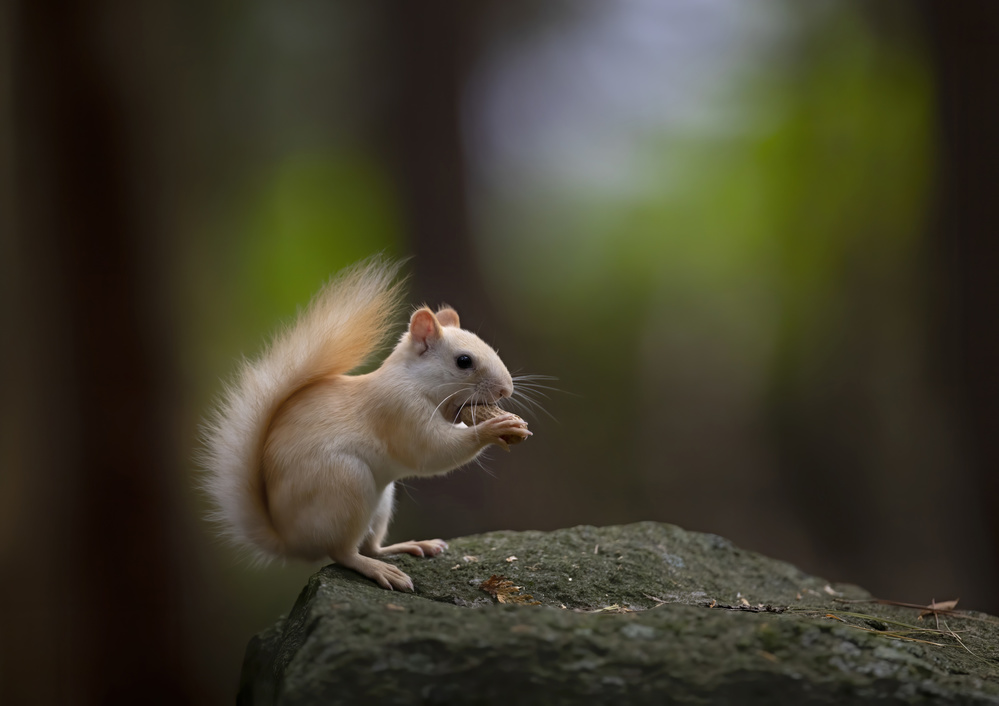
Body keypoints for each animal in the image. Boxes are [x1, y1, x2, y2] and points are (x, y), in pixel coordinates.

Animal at [200, 258, 536, 588]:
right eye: (463, 361)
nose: (506, 390)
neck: (413, 380)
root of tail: (291, 541)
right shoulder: (398, 410)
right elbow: (432, 452)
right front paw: (495, 428)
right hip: (346, 485)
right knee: (344, 553)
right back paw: (378, 569)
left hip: (382, 500)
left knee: (371, 545)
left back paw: (411, 546)